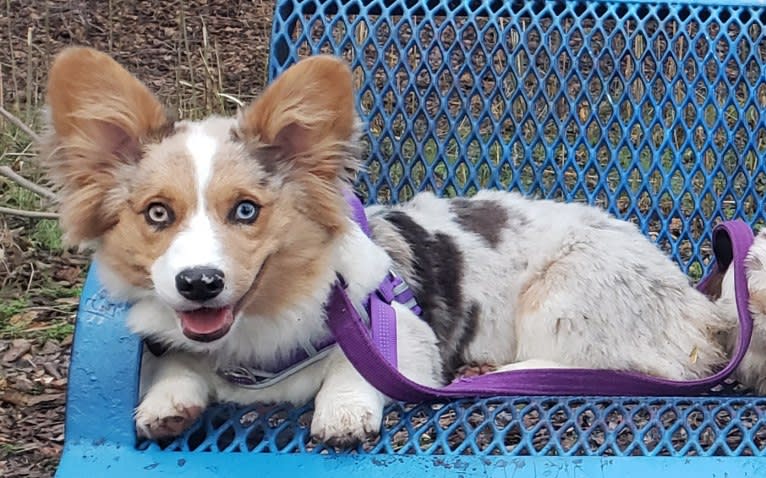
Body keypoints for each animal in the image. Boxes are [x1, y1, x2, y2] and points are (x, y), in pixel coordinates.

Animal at [40, 46, 766, 446]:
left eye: (245, 210)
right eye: (157, 214)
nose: (198, 284)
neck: (258, 333)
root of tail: (698, 303)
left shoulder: (404, 339)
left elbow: (355, 368)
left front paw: (342, 411)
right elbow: (177, 365)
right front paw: (168, 402)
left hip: (561, 295)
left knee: (611, 364)